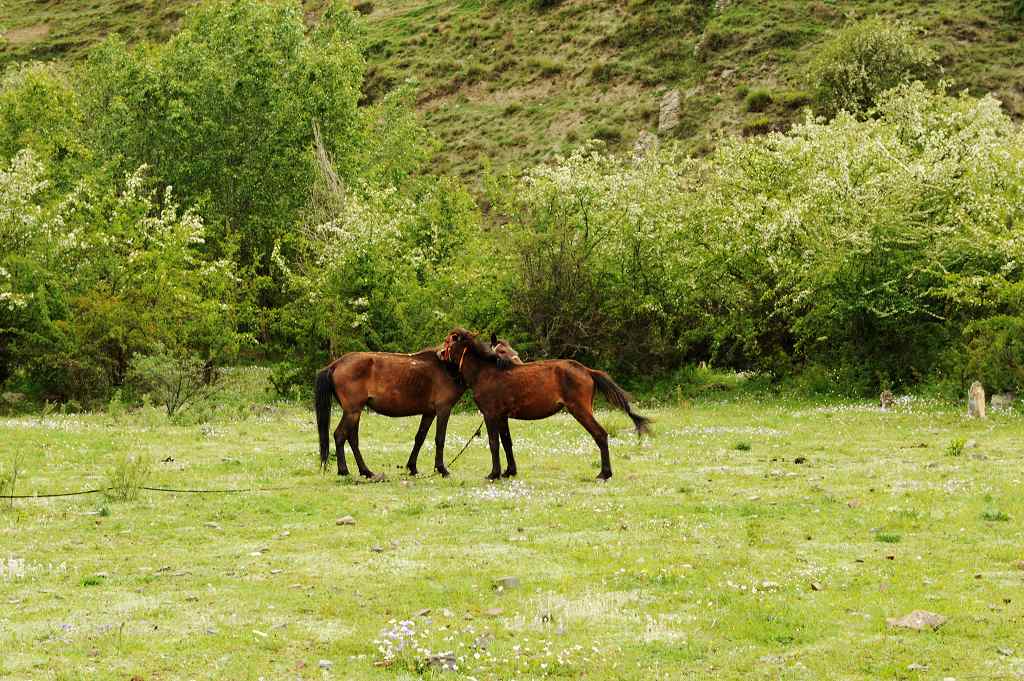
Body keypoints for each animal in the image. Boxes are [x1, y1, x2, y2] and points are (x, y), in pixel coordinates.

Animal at [311, 337, 520, 475]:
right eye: (501, 351)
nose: (519, 365)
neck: (449, 367)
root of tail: (336, 364)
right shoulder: (443, 409)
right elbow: (440, 438)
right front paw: (442, 469)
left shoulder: (429, 413)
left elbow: (420, 438)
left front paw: (412, 467)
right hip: (352, 411)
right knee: (340, 435)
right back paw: (344, 470)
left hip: (355, 412)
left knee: (352, 439)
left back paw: (366, 471)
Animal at [438, 327, 647, 477]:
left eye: (448, 341)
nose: (439, 353)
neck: (486, 372)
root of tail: (586, 370)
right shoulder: (502, 417)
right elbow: (507, 442)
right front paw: (509, 471)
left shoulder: (490, 415)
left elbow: (494, 443)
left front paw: (494, 474)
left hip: (580, 410)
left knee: (600, 434)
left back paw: (604, 474)